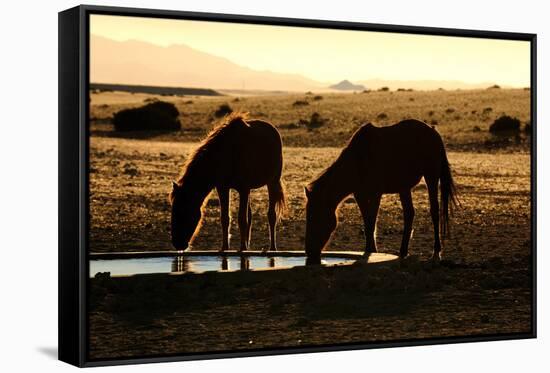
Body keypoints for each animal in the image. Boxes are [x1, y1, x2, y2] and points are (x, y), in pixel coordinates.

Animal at [170, 112, 286, 250]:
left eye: (182, 210)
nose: (177, 244)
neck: (226, 154)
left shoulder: (243, 189)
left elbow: (242, 219)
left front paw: (242, 248)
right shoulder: (223, 188)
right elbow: (225, 218)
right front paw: (225, 247)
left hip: (272, 182)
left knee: (271, 215)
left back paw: (272, 247)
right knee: (250, 216)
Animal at [308, 120, 460, 264]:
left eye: (317, 216)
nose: (310, 254)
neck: (358, 160)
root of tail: (433, 132)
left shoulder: (376, 194)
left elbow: (371, 222)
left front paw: (372, 252)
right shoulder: (360, 195)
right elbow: (367, 223)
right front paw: (370, 251)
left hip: (431, 177)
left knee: (434, 211)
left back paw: (435, 254)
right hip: (404, 187)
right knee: (409, 213)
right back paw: (403, 252)